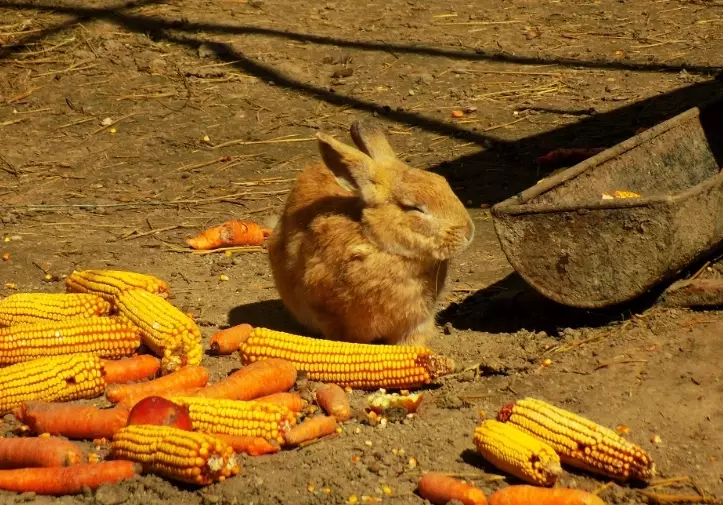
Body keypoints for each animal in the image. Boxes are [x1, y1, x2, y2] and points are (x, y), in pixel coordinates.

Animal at [267, 120, 475, 347]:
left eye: (443, 182)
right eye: (413, 208)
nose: (469, 232)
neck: (382, 247)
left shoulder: (415, 323)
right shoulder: (331, 316)